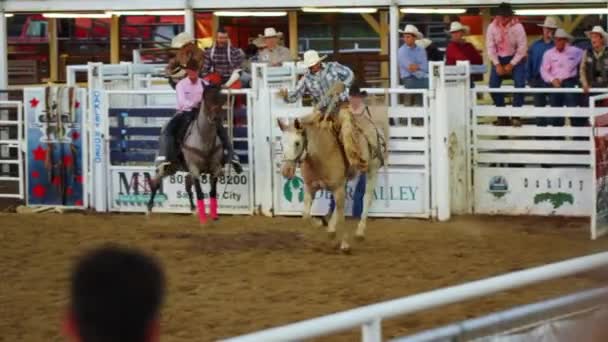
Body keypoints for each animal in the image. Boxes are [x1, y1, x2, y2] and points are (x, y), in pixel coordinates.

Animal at [147, 85, 228, 224]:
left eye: (220, 98)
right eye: (206, 99)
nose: (216, 118)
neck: (204, 139)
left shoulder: (215, 169)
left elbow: (212, 192)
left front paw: (214, 216)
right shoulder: (194, 169)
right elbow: (200, 193)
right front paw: (203, 220)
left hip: (174, 168)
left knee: (186, 184)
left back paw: (193, 209)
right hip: (166, 166)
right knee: (155, 183)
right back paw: (148, 209)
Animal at [278, 108, 388, 252]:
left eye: (297, 143)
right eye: (281, 143)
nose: (286, 171)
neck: (320, 156)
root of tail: (370, 123)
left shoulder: (337, 187)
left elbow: (342, 217)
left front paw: (345, 244)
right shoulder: (310, 188)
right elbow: (306, 215)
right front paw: (319, 223)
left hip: (372, 169)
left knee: (366, 198)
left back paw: (359, 232)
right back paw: (331, 229)